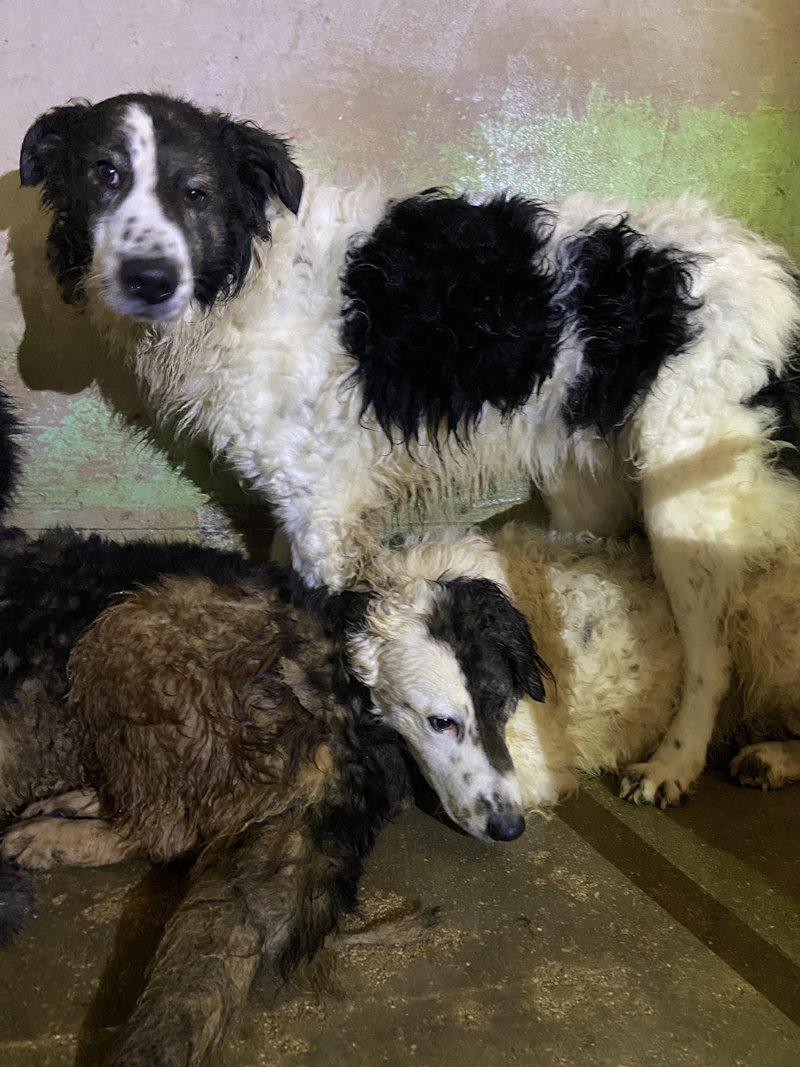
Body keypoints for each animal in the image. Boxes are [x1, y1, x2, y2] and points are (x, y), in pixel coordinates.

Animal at [20, 92, 800, 810]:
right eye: (105, 174)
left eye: (195, 191)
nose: (148, 280)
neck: (250, 277)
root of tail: (773, 275)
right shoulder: (303, 502)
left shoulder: (323, 509)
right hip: (592, 488)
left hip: (686, 498)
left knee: (713, 655)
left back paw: (675, 763)